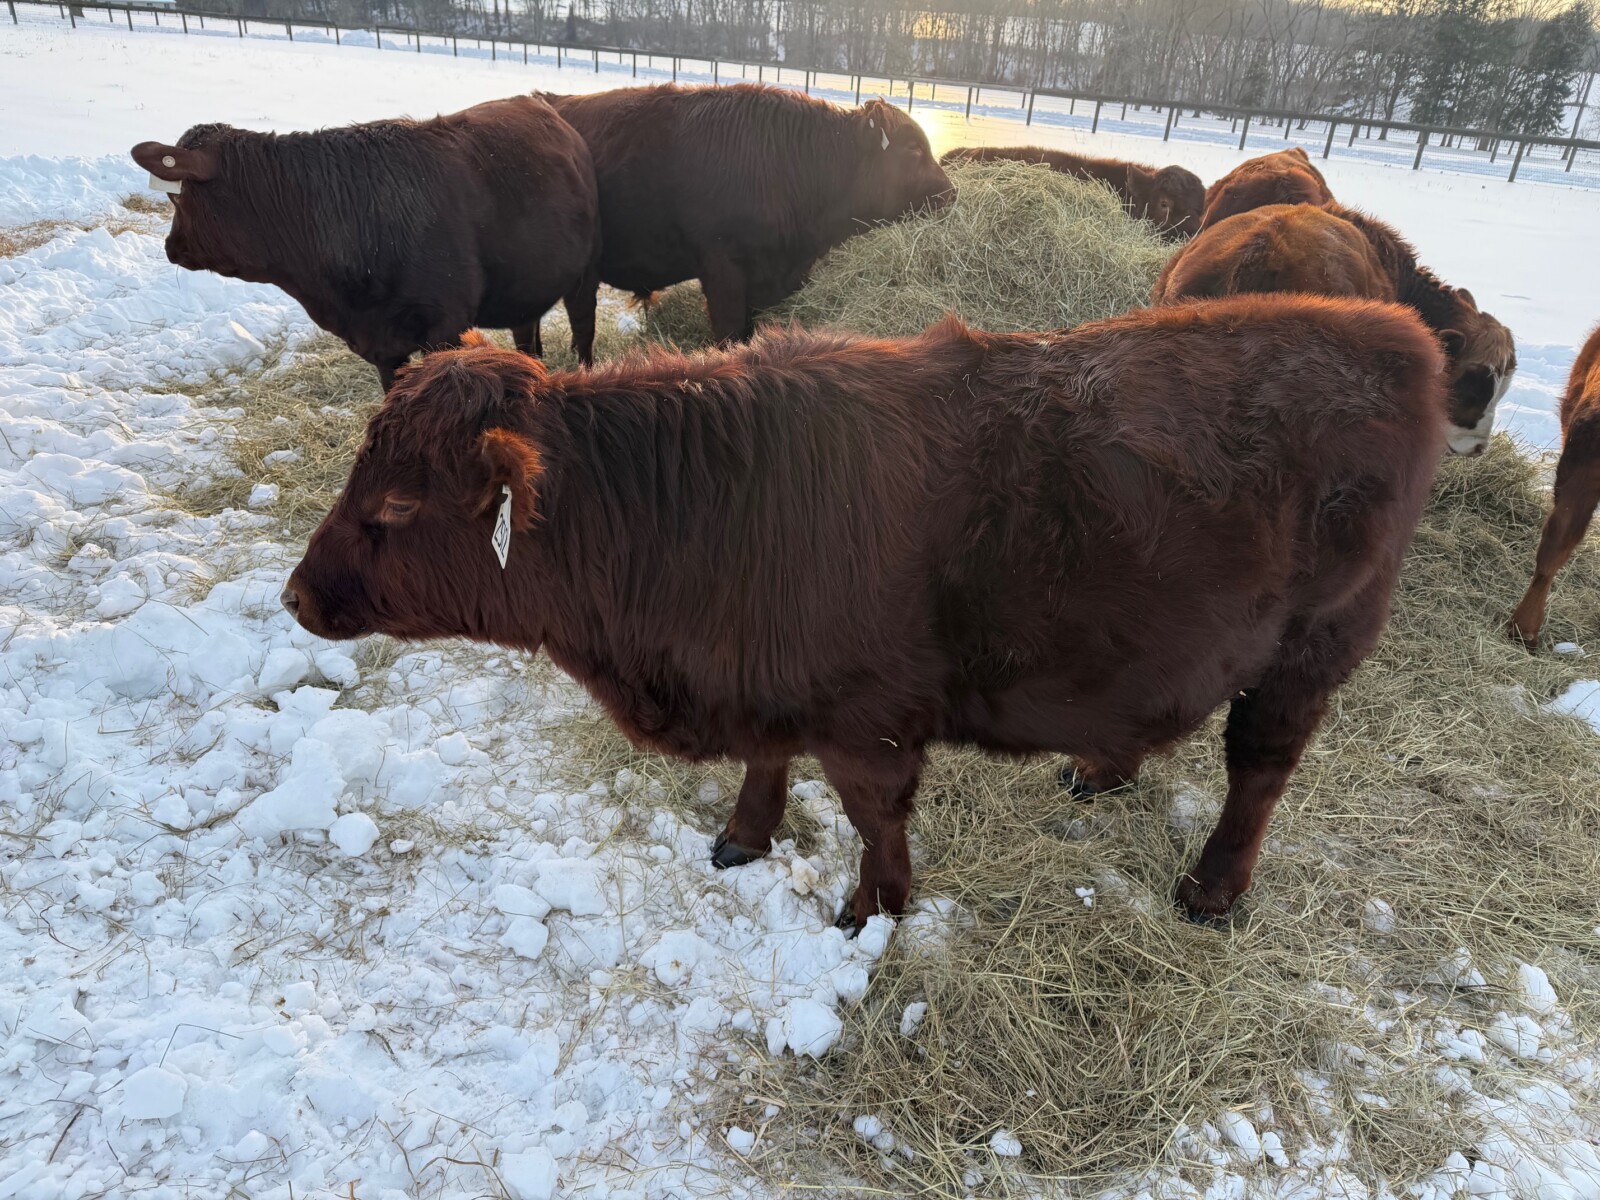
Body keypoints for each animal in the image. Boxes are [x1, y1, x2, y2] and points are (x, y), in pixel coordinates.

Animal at [131, 96, 601, 389]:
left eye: (176, 194)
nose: (171, 247)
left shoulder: (445, 328)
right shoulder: (382, 346)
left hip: (583, 279)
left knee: (583, 332)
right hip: (527, 288)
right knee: (528, 337)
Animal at [281, 295, 1446, 929]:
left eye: (396, 505)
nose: (295, 596)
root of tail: (1392, 334)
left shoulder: (866, 720)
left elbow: (873, 818)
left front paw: (873, 911)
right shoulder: (766, 681)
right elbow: (766, 765)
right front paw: (741, 839)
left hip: (1310, 654)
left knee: (1260, 771)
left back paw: (1210, 890)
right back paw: (1099, 768)